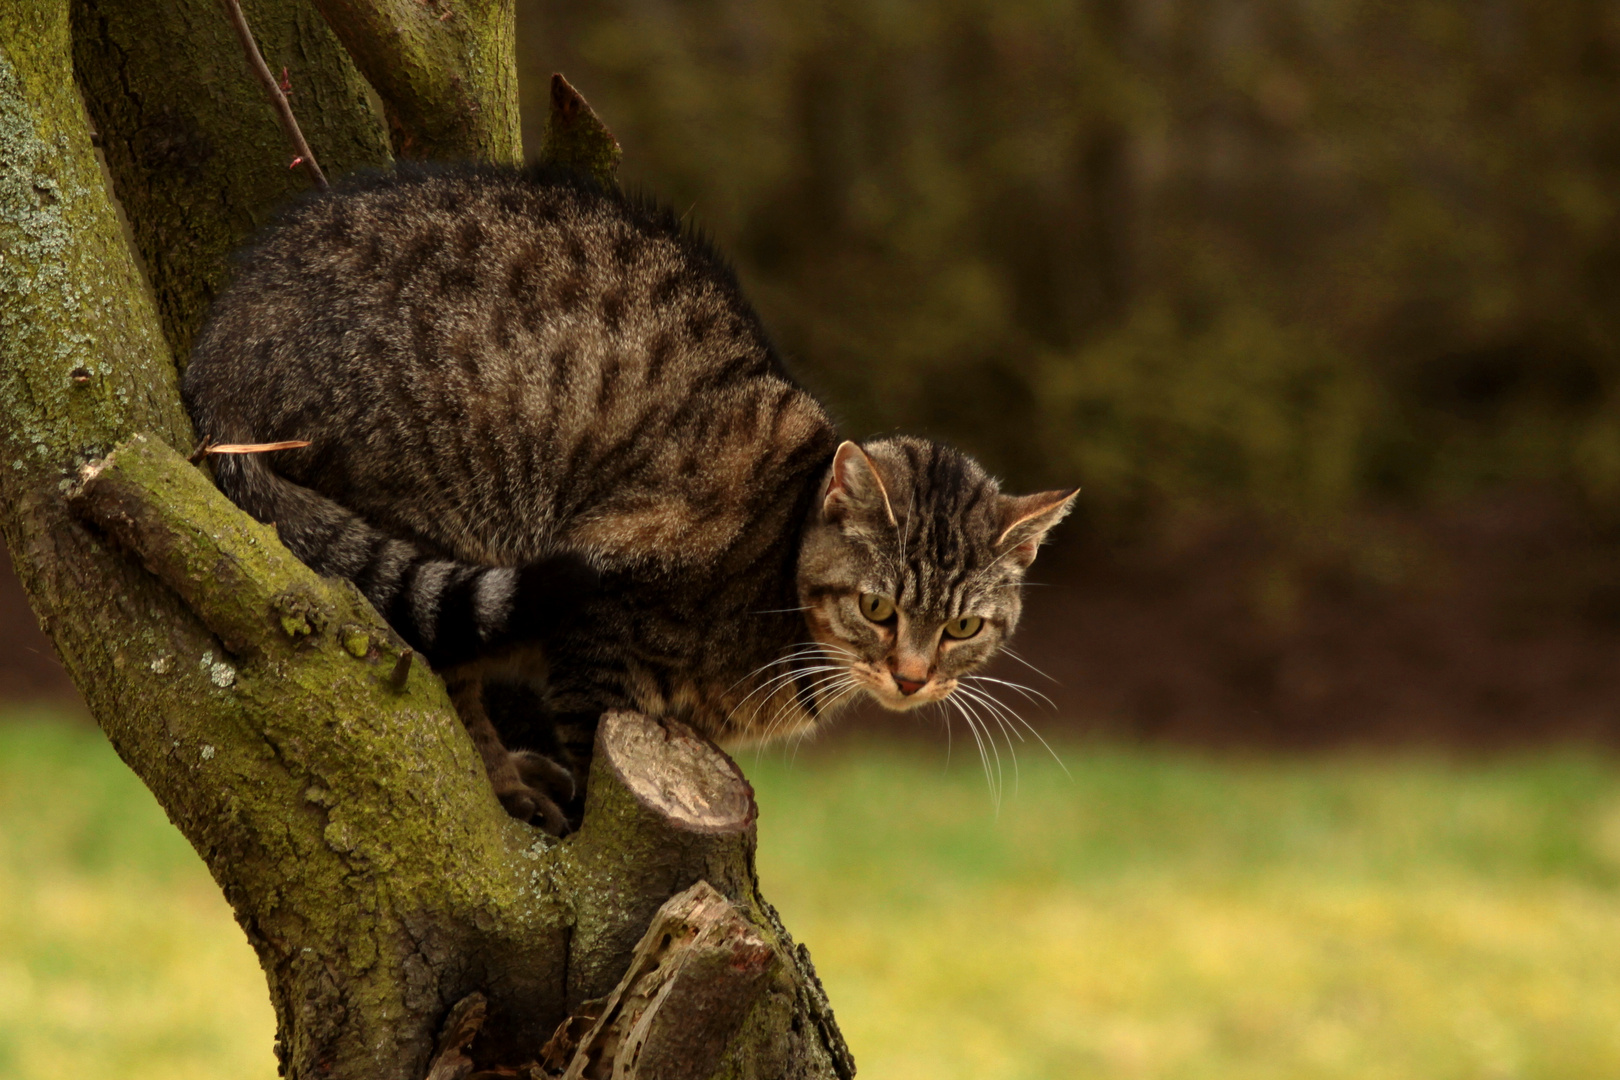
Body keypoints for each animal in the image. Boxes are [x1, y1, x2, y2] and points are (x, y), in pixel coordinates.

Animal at [180, 165, 1075, 835]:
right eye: (878, 609)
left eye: (962, 628)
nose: (912, 678)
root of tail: (223, 352)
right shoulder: (601, 636)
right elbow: (586, 749)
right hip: (451, 501)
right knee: (445, 670)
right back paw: (507, 785)